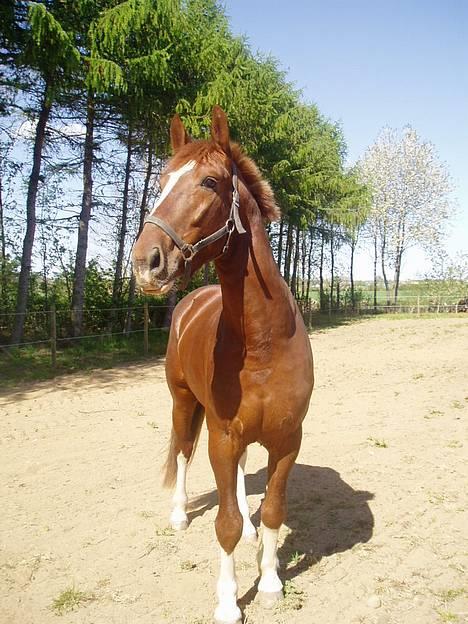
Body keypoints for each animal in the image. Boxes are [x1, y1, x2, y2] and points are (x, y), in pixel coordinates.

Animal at [132, 108, 314, 624]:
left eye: (210, 182)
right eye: (161, 181)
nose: (146, 262)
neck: (264, 344)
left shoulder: (286, 438)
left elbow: (272, 511)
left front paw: (270, 582)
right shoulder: (222, 435)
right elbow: (225, 523)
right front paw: (229, 602)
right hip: (183, 404)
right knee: (182, 452)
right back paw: (177, 515)